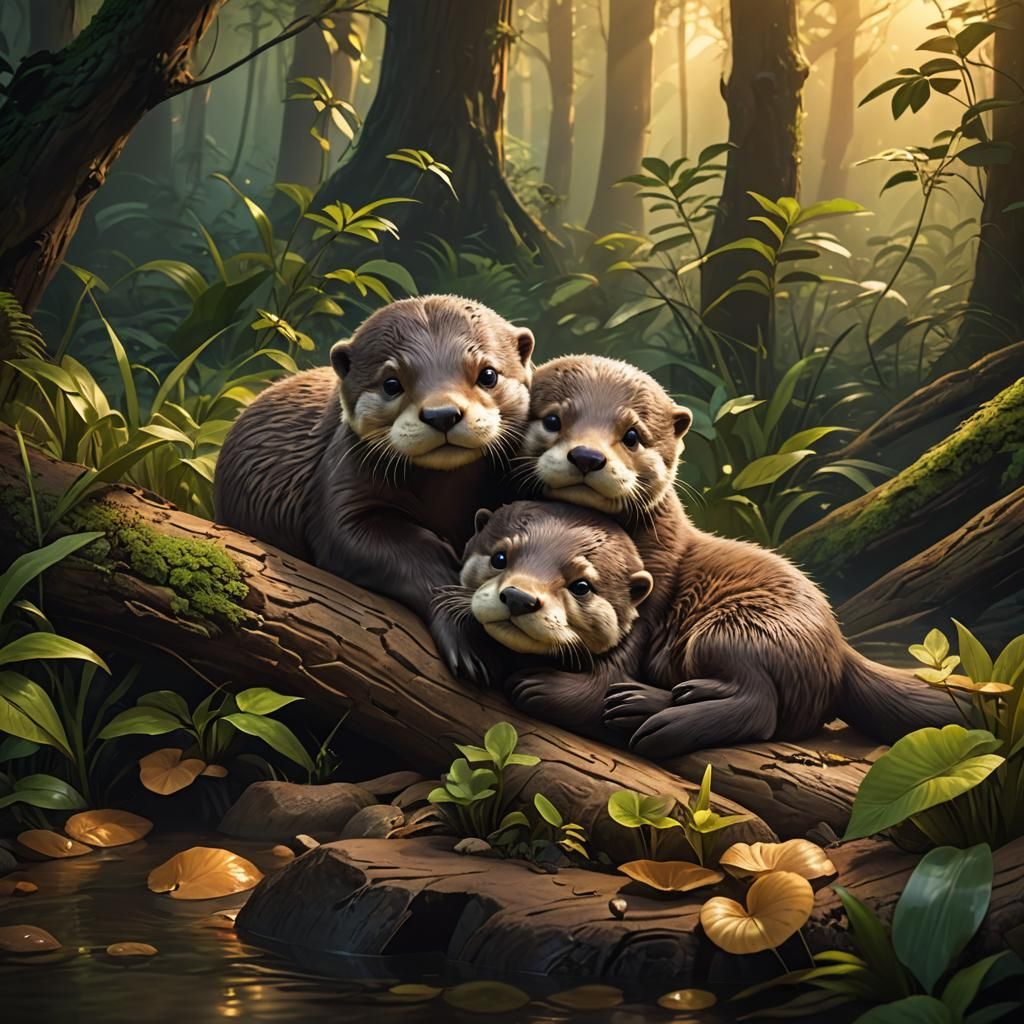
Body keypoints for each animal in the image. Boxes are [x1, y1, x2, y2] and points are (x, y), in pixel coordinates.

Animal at [214, 296, 534, 684]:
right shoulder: (342, 486)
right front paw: (470, 636)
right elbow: (377, 547)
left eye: (488, 374)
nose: (442, 413)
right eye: (391, 383)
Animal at [508, 354, 961, 756]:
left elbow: (614, 666)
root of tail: (837, 645)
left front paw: (551, 688)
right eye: (553, 420)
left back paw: (658, 714)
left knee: (761, 708)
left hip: (739, 628)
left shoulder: (653, 582)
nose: (587, 456)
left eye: (633, 435)